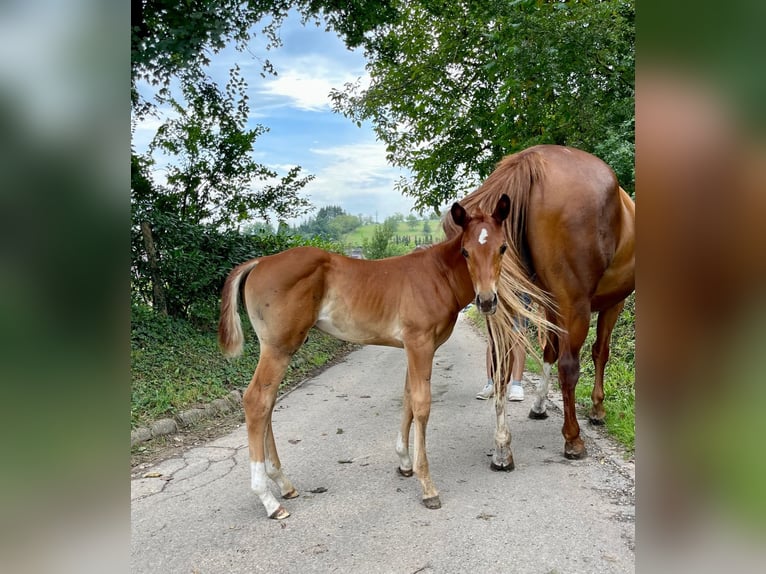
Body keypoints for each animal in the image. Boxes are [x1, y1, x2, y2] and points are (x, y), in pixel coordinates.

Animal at [219, 196, 512, 520]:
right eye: (465, 251)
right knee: (257, 401)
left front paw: (404, 464)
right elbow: (421, 405)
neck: (438, 275)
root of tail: (260, 262)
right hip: (279, 347)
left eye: (502, 247)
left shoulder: (415, 347)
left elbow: (407, 399)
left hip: (277, 348)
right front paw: (427, 486)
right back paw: (269, 501)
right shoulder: (420, 344)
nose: (486, 301)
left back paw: (284, 484)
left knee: (268, 403)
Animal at [444, 144, 636, 468]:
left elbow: (548, 351)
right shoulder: (612, 303)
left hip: (501, 305)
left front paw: (539, 405)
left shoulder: (550, 305)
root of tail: (532, 160)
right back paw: (573, 439)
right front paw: (597, 409)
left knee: (501, 365)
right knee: (569, 367)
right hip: (574, 306)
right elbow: (600, 352)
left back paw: (502, 447)